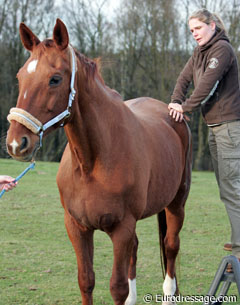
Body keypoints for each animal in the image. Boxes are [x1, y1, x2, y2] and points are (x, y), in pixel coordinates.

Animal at [5, 18, 192, 304]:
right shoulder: (77, 228)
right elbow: (86, 281)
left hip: (176, 204)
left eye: (55, 79)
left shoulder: (122, 228)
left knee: (171, 247)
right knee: (136, 250)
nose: (17, 142)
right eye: (20, 77)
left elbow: (117, 287)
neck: (92, 163)